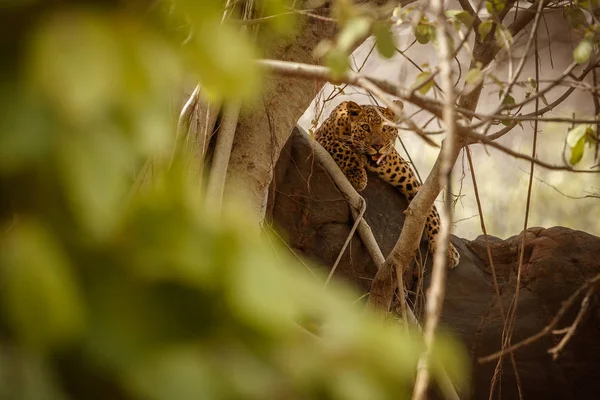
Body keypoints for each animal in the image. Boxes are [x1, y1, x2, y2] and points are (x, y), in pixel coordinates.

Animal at [314, 100, 460, 268]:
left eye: (386, 128)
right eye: (365, 127)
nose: (378, 146)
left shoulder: (412, 183)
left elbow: (430, 211)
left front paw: (447, 251)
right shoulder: (322, 138)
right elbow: (342, 148)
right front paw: (358, 176)